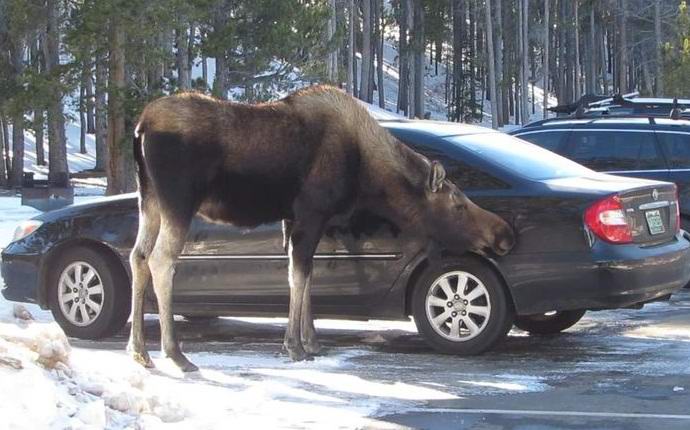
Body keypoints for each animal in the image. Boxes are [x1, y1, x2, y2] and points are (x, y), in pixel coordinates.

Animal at [129, 85, 512, 372]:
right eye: (458, 205)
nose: (504, 234)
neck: (367, 176)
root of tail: (141, 125)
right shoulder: (310, 214)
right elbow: (299, 277)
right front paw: (294, 346)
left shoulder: (298, 220)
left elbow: (307, 276)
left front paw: (311, 340)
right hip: (178, 200)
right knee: (161, 259)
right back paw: (175, 353)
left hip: (149, 199)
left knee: (138, 256)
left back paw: (139, 350)